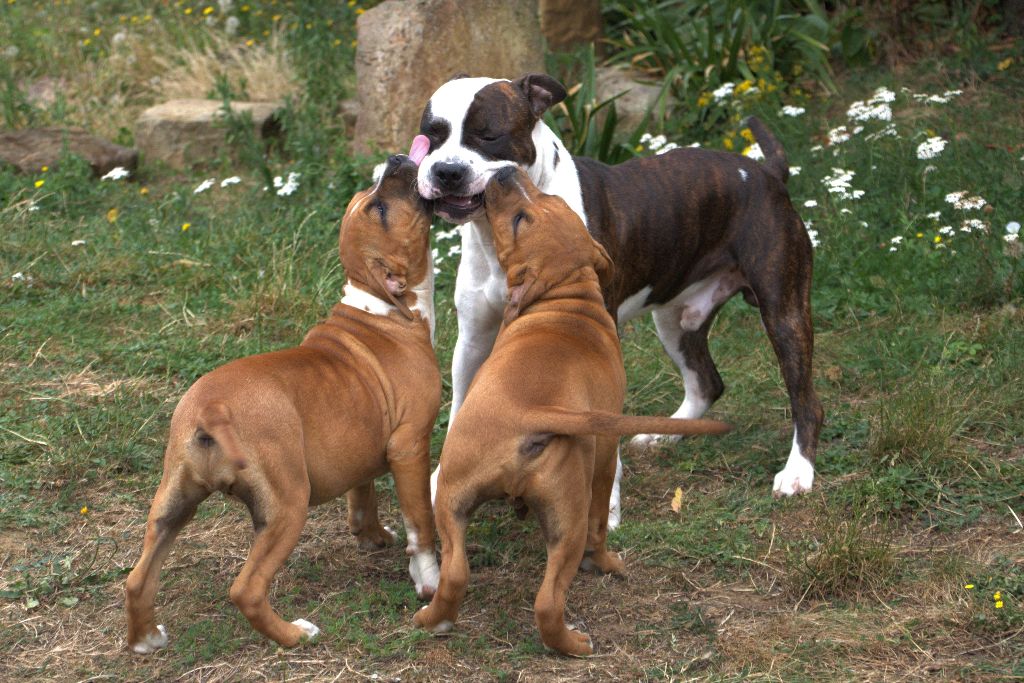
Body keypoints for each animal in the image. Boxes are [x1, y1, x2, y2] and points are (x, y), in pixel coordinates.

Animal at [125, 157, 438, 655]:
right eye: (381, 208)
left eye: (371, 197)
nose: (394, 160)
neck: (379, 306)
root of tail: (212, 407)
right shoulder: (410, 445)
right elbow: (420, 523)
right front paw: (429, 580)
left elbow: (362, 495)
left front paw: (371, 537)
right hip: (288, 506)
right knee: (246, 590)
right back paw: (295, 634)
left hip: (173, 504)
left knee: (138, 577)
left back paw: (145, 639)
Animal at [413, 165, 729, 655]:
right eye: (520, 219)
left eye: (547, 204)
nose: (505, 171)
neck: (565, 299)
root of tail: (528, 419)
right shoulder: (606, 451)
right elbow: (604, 514)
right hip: (568, 516)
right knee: (551, 594)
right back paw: (579, 633)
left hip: (452, 497)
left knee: (457, 576)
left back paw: (433, 619)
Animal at [415, 74, 823, 528]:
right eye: (431, 136)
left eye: (488, 136)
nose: (446, 171)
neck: (500, 232)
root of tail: (767, 174)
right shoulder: (472, 341)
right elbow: (460, 411)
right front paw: (439, 480)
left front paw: (604, 504)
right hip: (675, 320)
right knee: (706, 382)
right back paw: (665, 432)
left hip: (783, 312)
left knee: (805, 400)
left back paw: (797, 472)